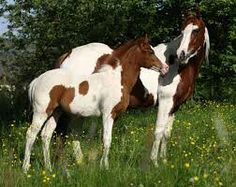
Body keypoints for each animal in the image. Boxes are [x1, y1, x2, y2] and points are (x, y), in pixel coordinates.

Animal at [23, 35, 165, 173]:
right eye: (150, 51)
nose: (164, 68)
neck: (116, 79)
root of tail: (36, 81)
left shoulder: (113, 115)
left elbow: (105, 140)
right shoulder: (108, 114)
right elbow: (107, 140)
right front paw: (105, 167)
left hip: (55, 112)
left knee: (46, 135)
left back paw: (48, 167)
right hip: (41, 112)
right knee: (31, 134)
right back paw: (25, 168)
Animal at [150, 11, 209, 166]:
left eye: (196, 30)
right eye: (182, 32)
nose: (181, 54)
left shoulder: (175, 106)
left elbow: (166, 133)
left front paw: (164, 160)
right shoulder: (165, 102)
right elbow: (158, 131)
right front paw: (154, 163)